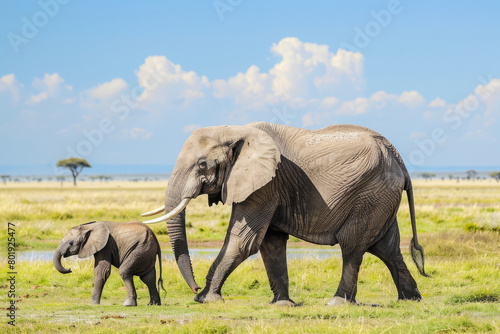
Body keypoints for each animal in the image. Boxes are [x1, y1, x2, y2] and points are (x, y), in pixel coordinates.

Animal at [143, 122, 428, 306]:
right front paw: (282, 304)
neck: (234, 130)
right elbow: (271, 243)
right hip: (380, 197)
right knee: (386, 247)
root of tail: (400, 161)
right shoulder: (268, 187)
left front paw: (206, 299)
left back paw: (338, 302)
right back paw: (411, 300)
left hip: (371, 194)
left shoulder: (267, 184)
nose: (194, 288)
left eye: (202, 164)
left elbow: (243, 240)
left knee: (353, 245)